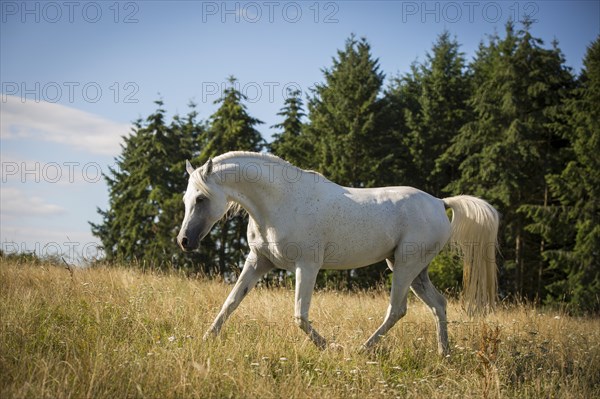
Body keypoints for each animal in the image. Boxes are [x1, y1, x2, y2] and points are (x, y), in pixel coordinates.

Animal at [178, 152, 502, 354]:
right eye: (186, 199)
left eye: (201, 198)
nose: (184, 241)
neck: (281, 202)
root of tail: (439, 202)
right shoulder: (258, 262)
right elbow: (230, 303)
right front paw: (206, 340)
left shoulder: (307, 266)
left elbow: (300, 315)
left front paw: (331, 347)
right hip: (414, 270)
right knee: (439, 305)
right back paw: (443, 354)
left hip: (406, 266)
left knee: (397, 310)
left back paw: (362, 350)